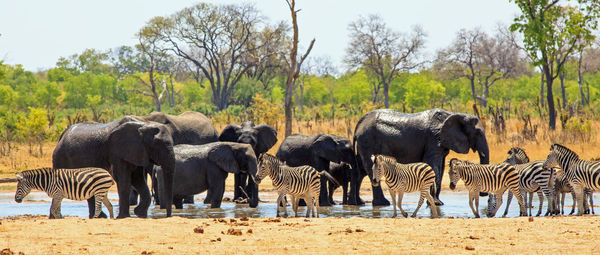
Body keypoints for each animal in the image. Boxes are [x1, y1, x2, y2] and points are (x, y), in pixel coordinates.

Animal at [352, 108, 488, 206]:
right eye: (478, 133)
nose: (483, 194)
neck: (453, 114)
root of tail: (359, 124)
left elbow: (440, 166)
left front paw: (438, 202)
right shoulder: (434, 139)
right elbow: (434, 166)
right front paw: (436, 203)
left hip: (363, 144)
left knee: (360, 172)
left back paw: (357, 203)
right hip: (368, 141)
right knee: (370, 169)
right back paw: (383, 204)